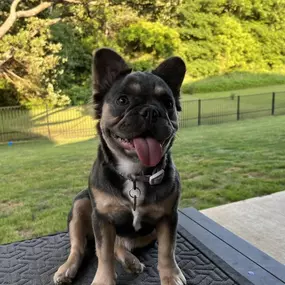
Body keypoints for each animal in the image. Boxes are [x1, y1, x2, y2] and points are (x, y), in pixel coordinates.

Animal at [53, 48, 186, 284]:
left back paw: (131, 260)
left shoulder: (167, 218)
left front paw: (171, 275)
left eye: (168, 104)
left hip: (147, 234)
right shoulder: (102, 219)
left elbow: (167, 250)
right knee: (81, 247)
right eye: (122, 100)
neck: (134, 173)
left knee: (120, 245)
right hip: (80, 205)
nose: (151, 111)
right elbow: (103, 252)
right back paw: (67, 269)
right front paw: (104, 279)